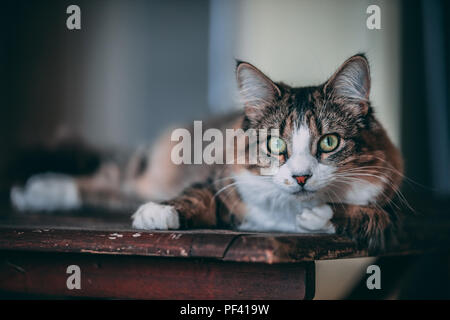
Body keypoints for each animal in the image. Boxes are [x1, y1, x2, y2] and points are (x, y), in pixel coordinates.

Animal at [10, 54, 404, 250]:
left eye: (329, 143)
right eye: (276, 144)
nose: (301, 176)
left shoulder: (392, 217)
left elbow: (367, 216)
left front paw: (319, 216)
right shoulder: (220, 180)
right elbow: (193, 196)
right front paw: (158, 214)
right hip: (149, 171)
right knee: (111, 178)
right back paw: (38, 190)